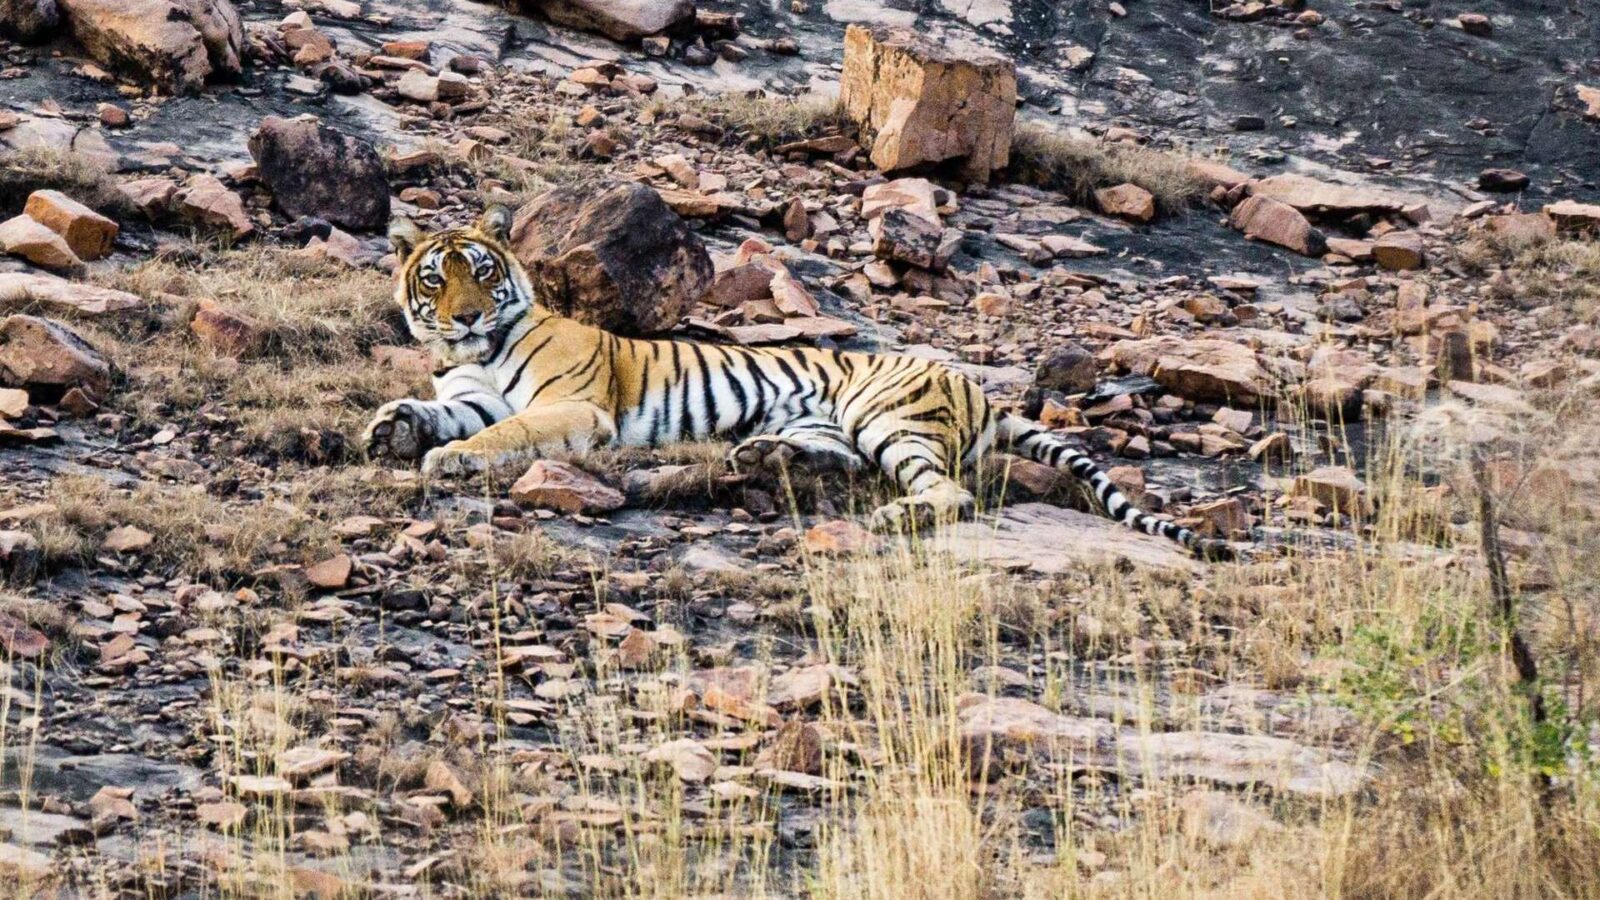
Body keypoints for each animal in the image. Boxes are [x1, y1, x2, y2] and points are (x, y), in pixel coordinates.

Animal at [363, 206, 1230, 558]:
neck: (477, 353)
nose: (466, 317)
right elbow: (432, 411)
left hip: (888, 416)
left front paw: (446, 460)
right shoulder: (466, 394)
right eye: (435, 279)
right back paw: (765, 458)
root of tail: (979, 390)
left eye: (481, 272)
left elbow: (507, 431)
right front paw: (392, 428)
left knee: (947, 491)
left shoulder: (573, 405)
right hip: (832, 422)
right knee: (836, 459)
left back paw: (888, 517)